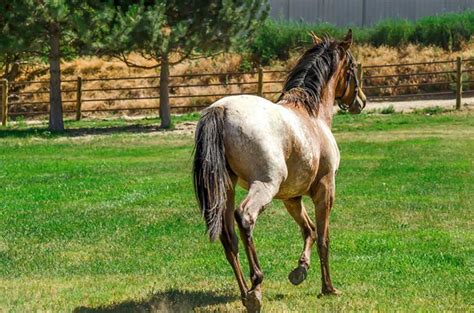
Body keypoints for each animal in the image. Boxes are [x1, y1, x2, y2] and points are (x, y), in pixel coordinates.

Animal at [193, 28, 366, 310]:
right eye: (351, 67)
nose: (361, 101)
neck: (312, 115)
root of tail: (221, 109)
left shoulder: (291, 198)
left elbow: (309, 230)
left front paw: (300, 271)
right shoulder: (325, 189)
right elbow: (324, 238)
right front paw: (328, 288)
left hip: (227, 189)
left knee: (229, 238)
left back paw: (245, 293)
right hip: (265, 186)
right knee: (245, 218)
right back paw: (256, 287)